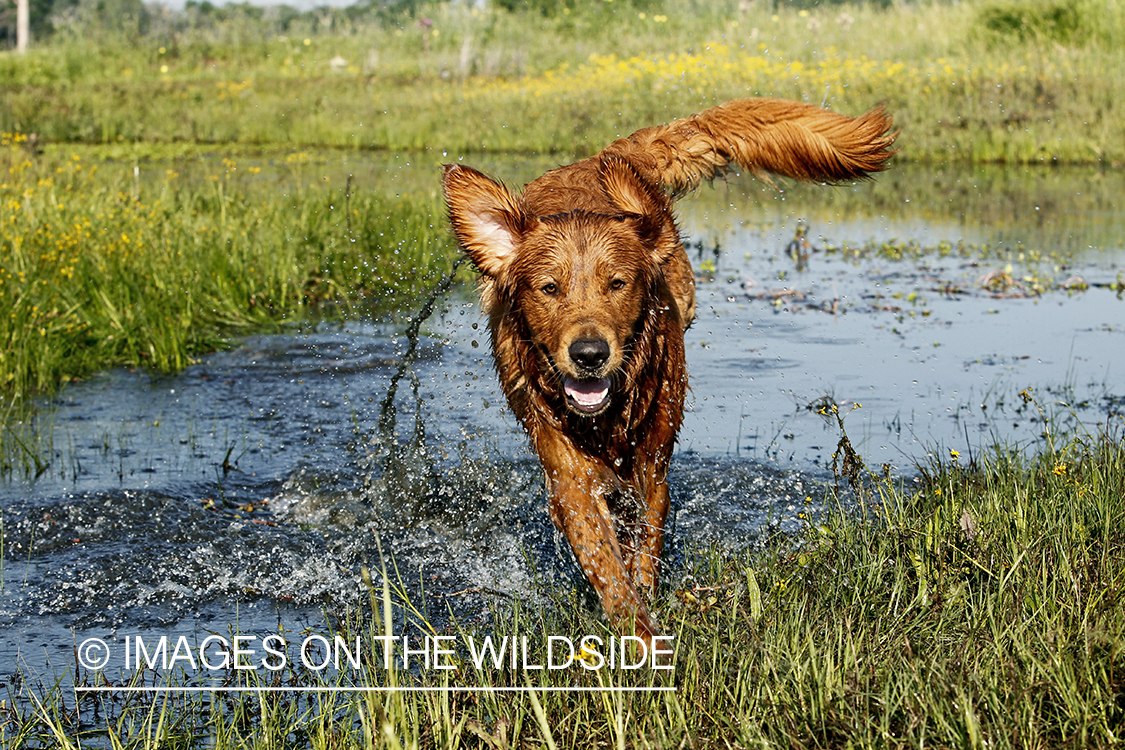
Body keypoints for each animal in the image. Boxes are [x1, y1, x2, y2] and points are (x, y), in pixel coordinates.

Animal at [443, 96, 891, 643]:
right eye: (549, 288)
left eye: (617, 283)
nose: (589, 354)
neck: (608, 420)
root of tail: (595, 158)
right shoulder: (568, 473)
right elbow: (606, 564)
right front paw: (636, 629)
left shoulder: (653, 465)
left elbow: (644, 550)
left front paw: (647, 608)